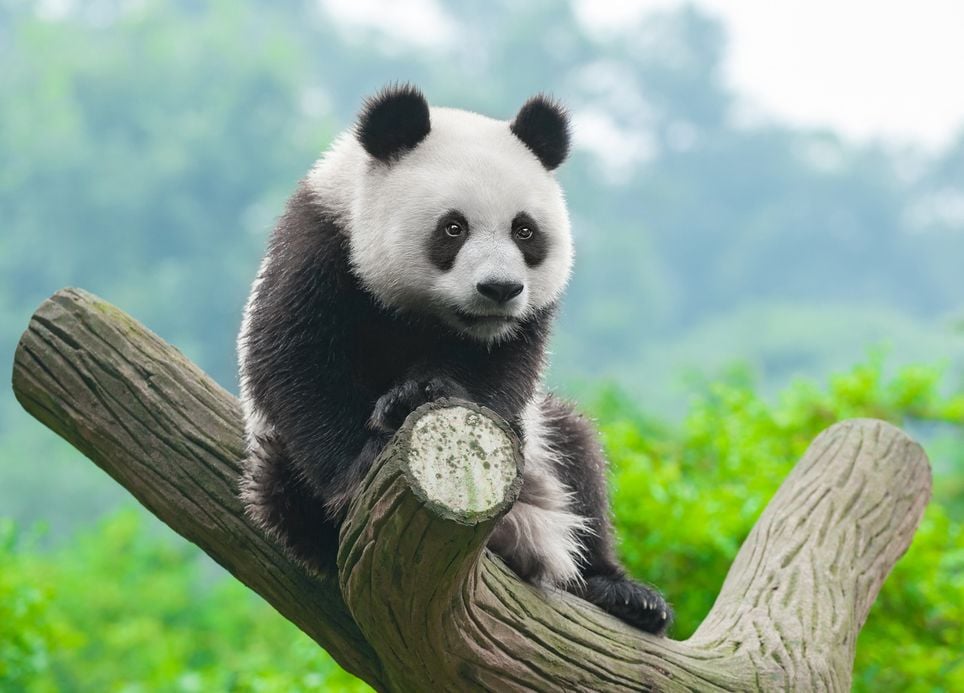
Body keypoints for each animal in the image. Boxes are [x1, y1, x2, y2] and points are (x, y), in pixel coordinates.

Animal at [237, 84, 671, 634]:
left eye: (524, 231)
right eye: (453, 228)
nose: (499, 289)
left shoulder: (520, 326)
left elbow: (500, 371)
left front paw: (419, 393)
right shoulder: (320, 245)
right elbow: (296, 363)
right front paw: (362, 461)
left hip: (544, 455)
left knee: (579, 458)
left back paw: (625, 594)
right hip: (274, 461)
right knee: (280, 488)